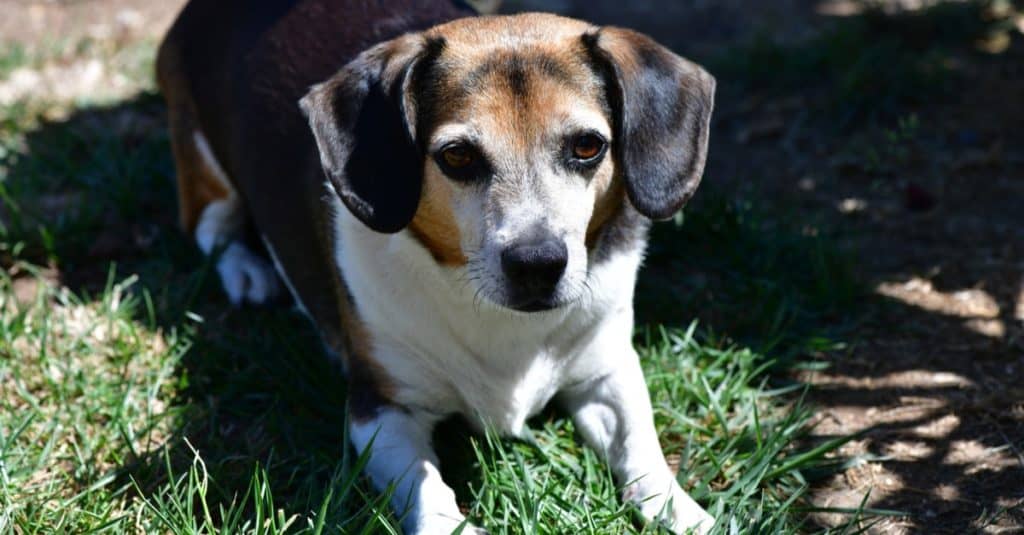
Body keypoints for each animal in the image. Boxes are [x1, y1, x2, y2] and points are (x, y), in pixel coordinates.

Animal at [157, 2, 712, 528]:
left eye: (587, 146)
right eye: (458, 156)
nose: (537, 264)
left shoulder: (608, 370)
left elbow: (640, 446)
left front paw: (681, 510)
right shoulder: (381, 407)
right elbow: (427, 491)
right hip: (202, 160)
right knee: (212, 226)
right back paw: (247, 270)